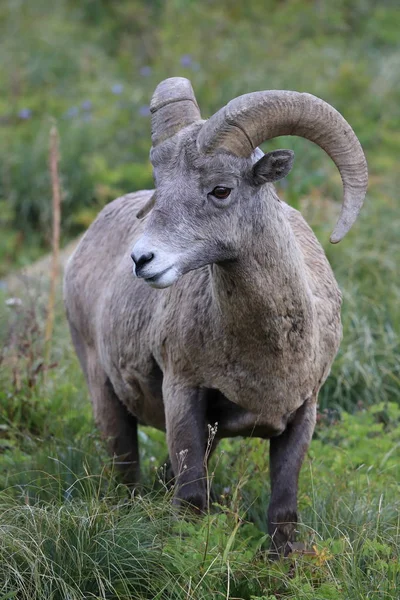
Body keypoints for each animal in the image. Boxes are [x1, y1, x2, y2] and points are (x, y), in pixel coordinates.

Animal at [64, 77, 368, 556]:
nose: (142, 260)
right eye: (161, 185)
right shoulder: (183, 395)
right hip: (106, 396)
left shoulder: (303, 416)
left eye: (221, 190)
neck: (266, 356)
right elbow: (191, 499)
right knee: (126, 473)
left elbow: (283, 515)